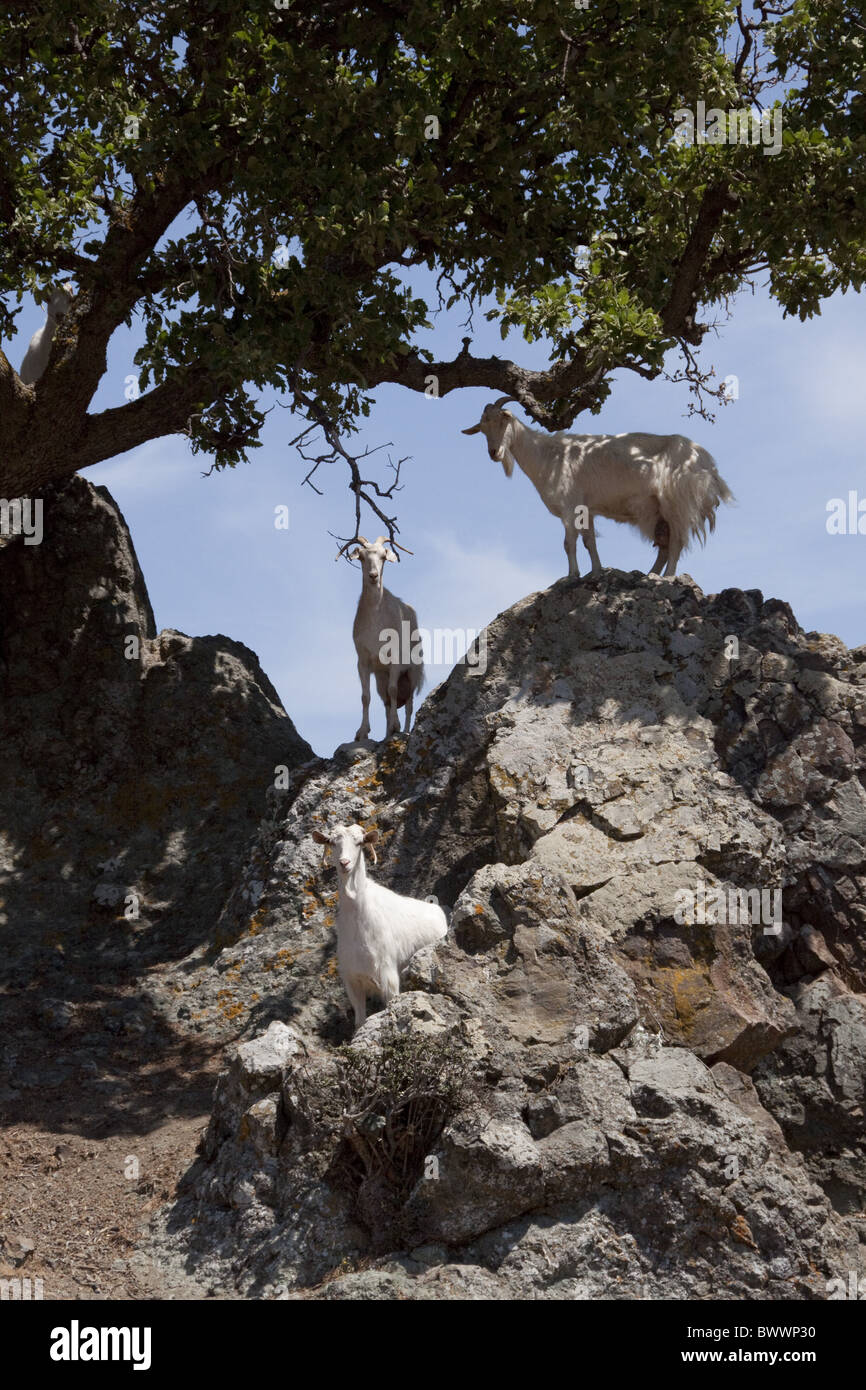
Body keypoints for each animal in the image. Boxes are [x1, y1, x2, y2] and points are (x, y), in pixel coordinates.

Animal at [461, 397, 733, 575]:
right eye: (482, 427)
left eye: (502, 420)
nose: (494, 453)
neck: (547, 455)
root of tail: (709, 466)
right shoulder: (586, 509)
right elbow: (589, 541)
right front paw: (596, 572)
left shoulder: (570, 506)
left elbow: (569, 543)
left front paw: (572, 576)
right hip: (659, 512)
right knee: (665, 545)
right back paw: (650, 574)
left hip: (676, 503)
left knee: (676, 541)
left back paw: (665, 577)